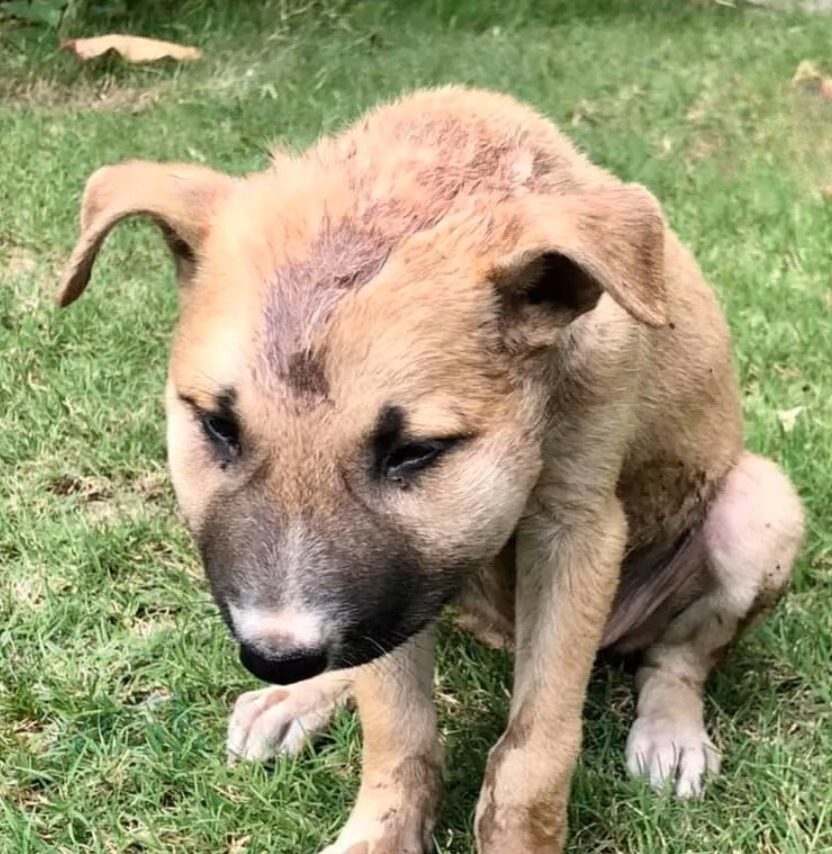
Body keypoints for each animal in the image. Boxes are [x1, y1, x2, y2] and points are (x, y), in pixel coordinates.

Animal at [60, 88, 808, 854]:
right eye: (215, 424)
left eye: (416, 450)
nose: (277, 656)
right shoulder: (399, 578)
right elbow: (397, 731)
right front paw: (378, 827)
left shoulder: (573, 528)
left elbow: (533, 751)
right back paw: (302, 698)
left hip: (760, 508)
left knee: (675, 660)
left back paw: (670, 733)